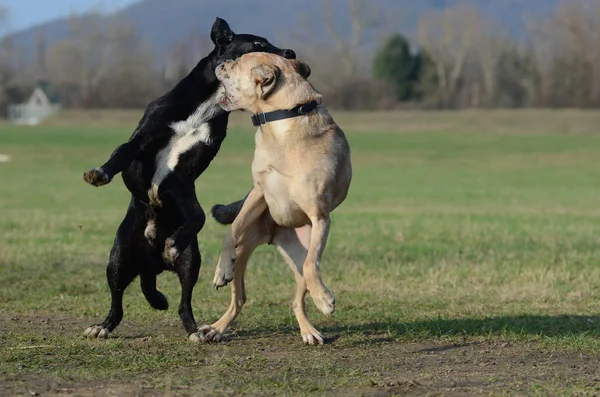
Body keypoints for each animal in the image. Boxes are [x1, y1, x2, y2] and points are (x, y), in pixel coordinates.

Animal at [81, 17, 296, 340]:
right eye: (258, 44)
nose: (291, 53)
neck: (207, 104)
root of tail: (151, 262)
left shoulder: (181, 175)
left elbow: (197, 215)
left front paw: (174, 242)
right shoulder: (144, 141)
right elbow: (122, 152)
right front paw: (100, 173)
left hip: (191, 261)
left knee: (184, 301)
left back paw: (195, 328)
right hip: (118, 258)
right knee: (116, 302)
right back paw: (102, 326)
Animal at [195, 52, 354, 344]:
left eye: (237, 63)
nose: (220, 62)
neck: (280, 124)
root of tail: (274, 234)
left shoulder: (319, 216)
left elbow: (313, 263)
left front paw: (324, 300)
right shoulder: (259, 193)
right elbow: (230, 233)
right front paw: (220, 271)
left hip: (298, 255)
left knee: (299, 291)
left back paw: (309, 330)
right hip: (245, 250)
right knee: (239, 299)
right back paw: (216, 327)